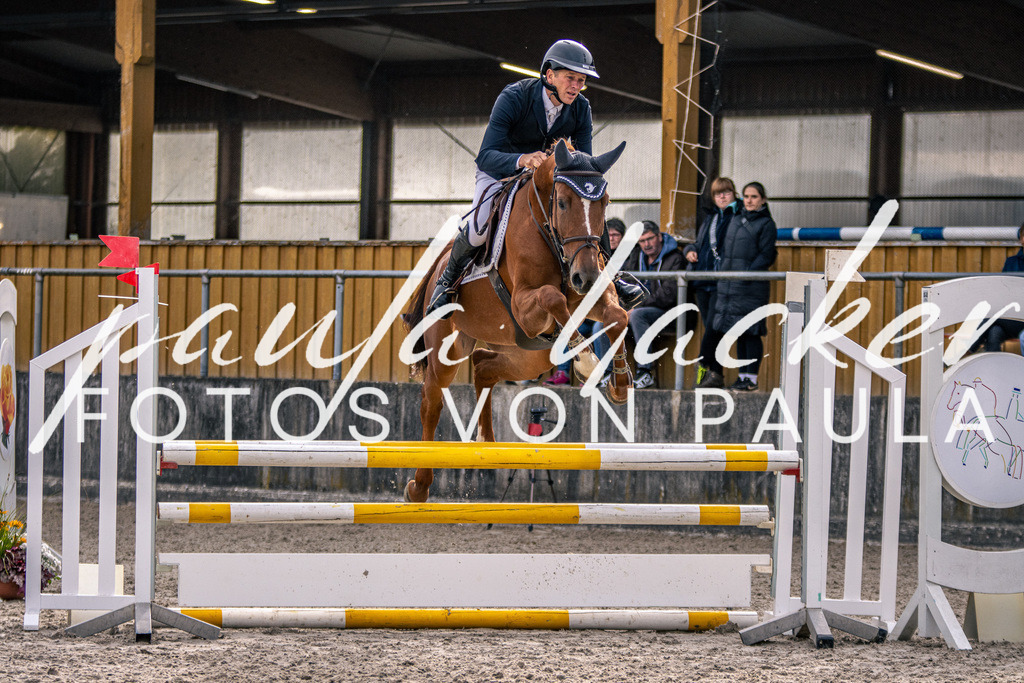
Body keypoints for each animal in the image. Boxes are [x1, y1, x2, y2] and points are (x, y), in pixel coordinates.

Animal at [401, 139, 633, 502]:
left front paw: (619, 382)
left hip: (528, 355)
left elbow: (617, 315)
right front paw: (586, 361)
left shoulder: (595, 291)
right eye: (562, 203)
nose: (585, 277)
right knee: (432, 398)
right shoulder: (526, 304)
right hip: (449, 349)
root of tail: (439, 264)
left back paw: (488, 443)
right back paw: (419, 485)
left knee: (484, 365)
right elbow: (554, 299)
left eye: (605, 202)